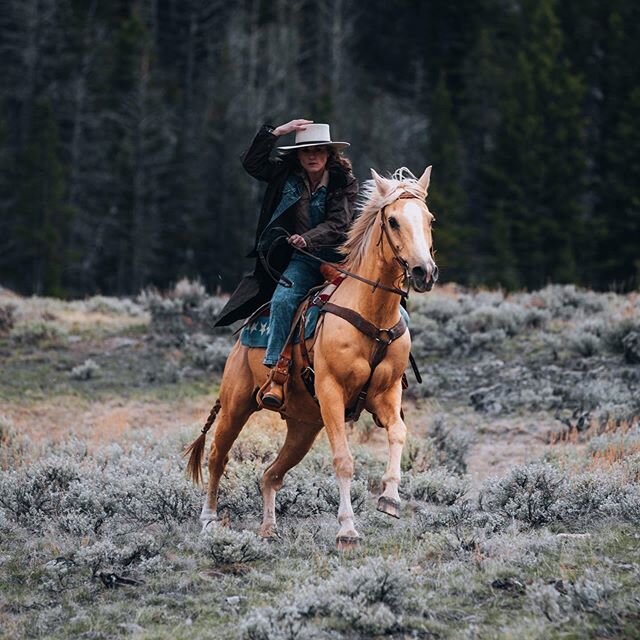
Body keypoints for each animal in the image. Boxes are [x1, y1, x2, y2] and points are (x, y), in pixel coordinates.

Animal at [182, 166, 438, 552]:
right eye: (393, 221)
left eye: (429, 219)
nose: (424, 272)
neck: (372, 314)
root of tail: (242, 338)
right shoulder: (331, 391)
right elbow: (343, 461)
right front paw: (347, 530)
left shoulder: (387, 393)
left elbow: (398, 433)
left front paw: (390, 499)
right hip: (236, 405)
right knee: (217, 457)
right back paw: (210, 520)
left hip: (303, 427)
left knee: (270, 475)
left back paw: (269, 529)